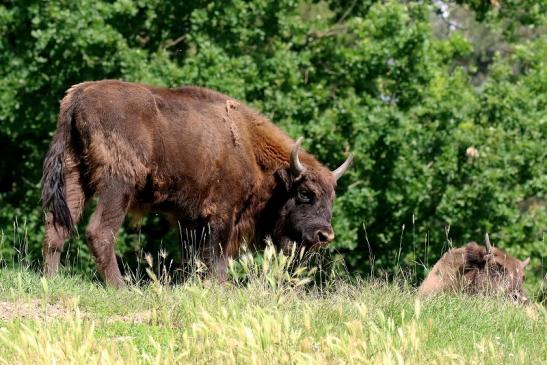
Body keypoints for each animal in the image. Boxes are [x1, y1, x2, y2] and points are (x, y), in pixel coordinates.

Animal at [40, 79, 354, 288]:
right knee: (99, 231)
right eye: (305, 193)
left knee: (57, 227)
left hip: (74, 176)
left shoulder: (189, 220)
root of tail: (78, 97)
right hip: (118, 185)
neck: (248, 148)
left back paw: (51, 279)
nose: (325, 235)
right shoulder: (221, 215)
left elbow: (194, 258)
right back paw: (120, 286)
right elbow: (216, 259)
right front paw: (221, 288)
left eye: (331, 199)